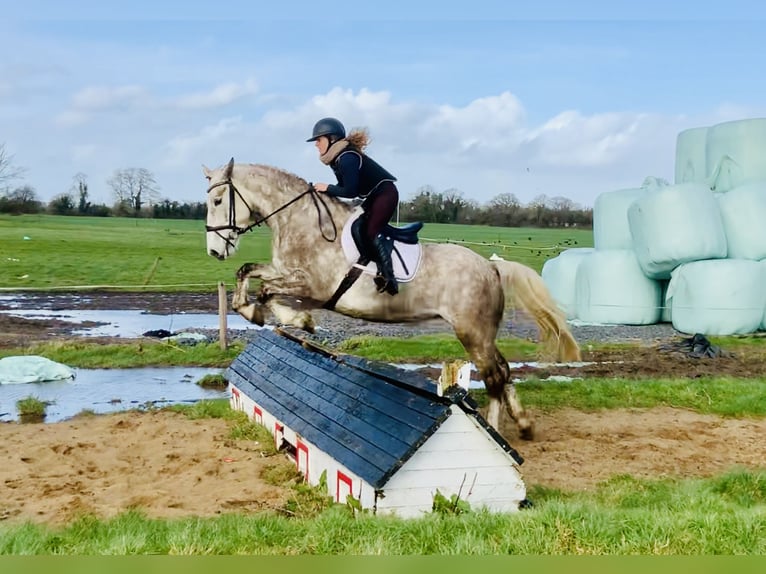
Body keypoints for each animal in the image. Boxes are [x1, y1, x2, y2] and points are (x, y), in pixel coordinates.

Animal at [204, 159, 584, 440]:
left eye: (218, 201)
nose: (214, 252)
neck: (302, 223)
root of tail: (491, 267)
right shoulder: (285, 273)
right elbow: (247, 272)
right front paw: (264, 313)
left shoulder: (313, 286)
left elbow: (268, 291)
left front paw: (290, 318)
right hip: (482, 333)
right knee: (503, 370)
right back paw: (524, 424)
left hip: (472, 332)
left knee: (493, 376)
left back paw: (495, 429)